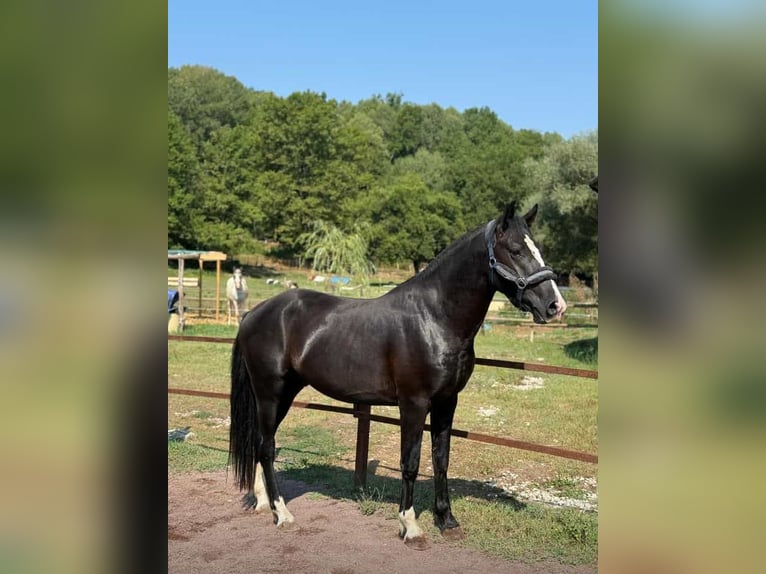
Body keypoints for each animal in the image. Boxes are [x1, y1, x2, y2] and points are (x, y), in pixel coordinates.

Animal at [229, 203, 566, 548]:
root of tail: (254, 313)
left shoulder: (447, 402)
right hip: (270, 394)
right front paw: (410, 525)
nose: (555, 305)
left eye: (537, 249)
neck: (433, 318)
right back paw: (282, 513)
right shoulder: (414, 404)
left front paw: (447, 521)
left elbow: (441, 460)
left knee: (260, 445)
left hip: (282, 393)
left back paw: (262, 501)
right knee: (266, 448)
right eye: (515, 250)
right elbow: (411, 462)